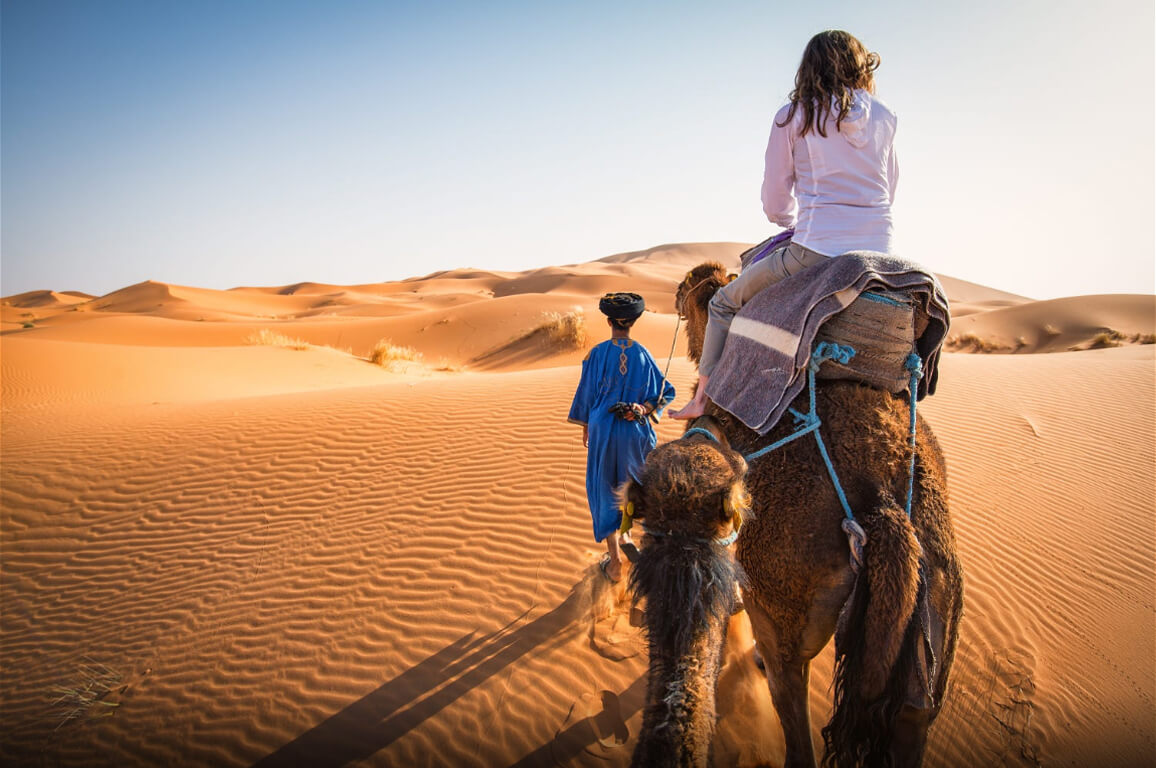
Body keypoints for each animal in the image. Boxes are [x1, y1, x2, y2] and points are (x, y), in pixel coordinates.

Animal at [624, 263, 966, 768]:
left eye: (689, 289)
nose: (677, 294)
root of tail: (884, 504)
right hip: (936, 609)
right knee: (912, 712)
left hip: (784, 608)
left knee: (792, 707)